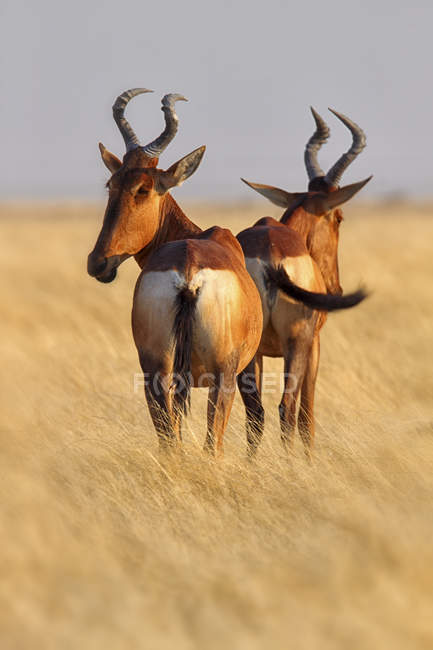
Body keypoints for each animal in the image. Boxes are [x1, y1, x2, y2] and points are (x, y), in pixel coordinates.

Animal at [87, 90, 264, 456]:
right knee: (212, 445)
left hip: (156, 371)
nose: (98, 262)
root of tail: (189, 271)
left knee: (169, 439)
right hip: (222, 376)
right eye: (112, 183)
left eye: (143, 187)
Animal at [236, 109, 372, 456]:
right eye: (339, 217)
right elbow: (307, 416)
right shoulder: (315, 345)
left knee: (255, 412)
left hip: (248, 348)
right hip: (297, 341)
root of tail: (271, 254)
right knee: (287, 409)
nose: (336, 288)